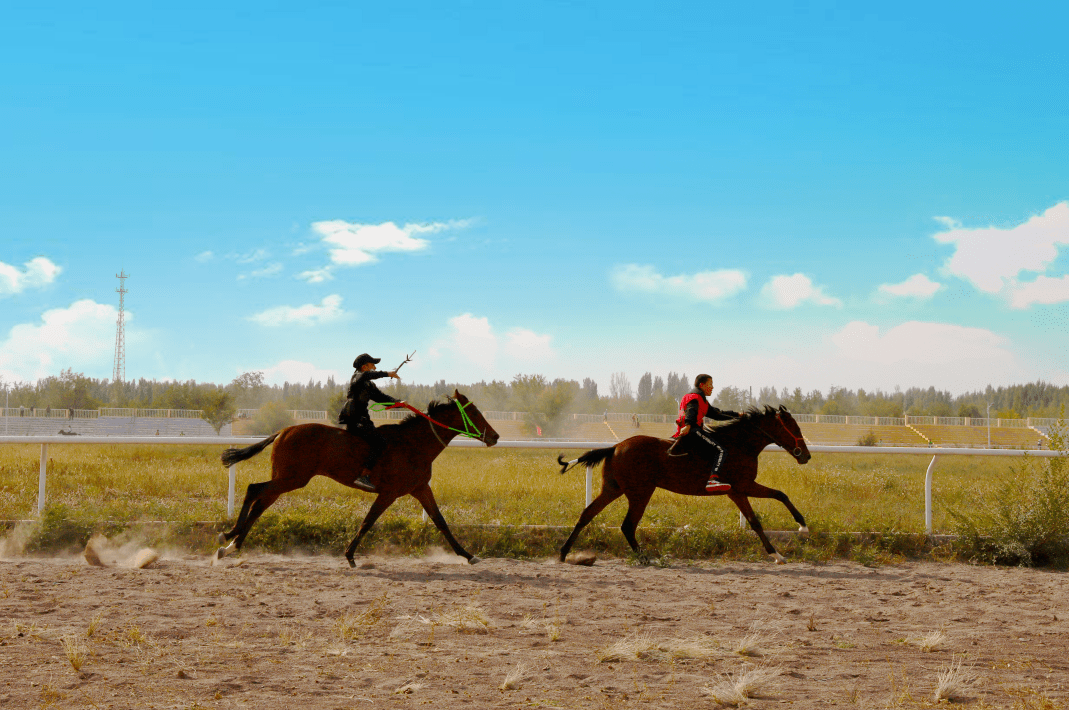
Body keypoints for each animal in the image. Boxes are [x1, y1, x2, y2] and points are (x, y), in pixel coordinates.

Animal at [220, 391, 500, 568]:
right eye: (475, 413)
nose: (495, 436)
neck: (414, 445)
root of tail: (284, 431)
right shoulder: (389, 493)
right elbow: (367, 522)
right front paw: (350, 555)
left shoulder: (420, 488)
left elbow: (441, 521)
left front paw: (468, 555)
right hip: (293, 478)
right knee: (253, 490)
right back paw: (229, 536)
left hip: (286, 478)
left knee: (260, 503)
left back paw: (232, 544)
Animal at [560, 404, 808, 564]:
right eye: (795, 428)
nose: (805, 455)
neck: (740, 444)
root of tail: (615, 447)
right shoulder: (743, 486)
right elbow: (770, 506)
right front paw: (792, 537)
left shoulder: (738, 491)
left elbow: (767, 508)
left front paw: (789, 540)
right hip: (640, 492)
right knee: (627, 525)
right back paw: (643, 557)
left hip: (614, 488)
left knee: (588, 513)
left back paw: (564, 552)